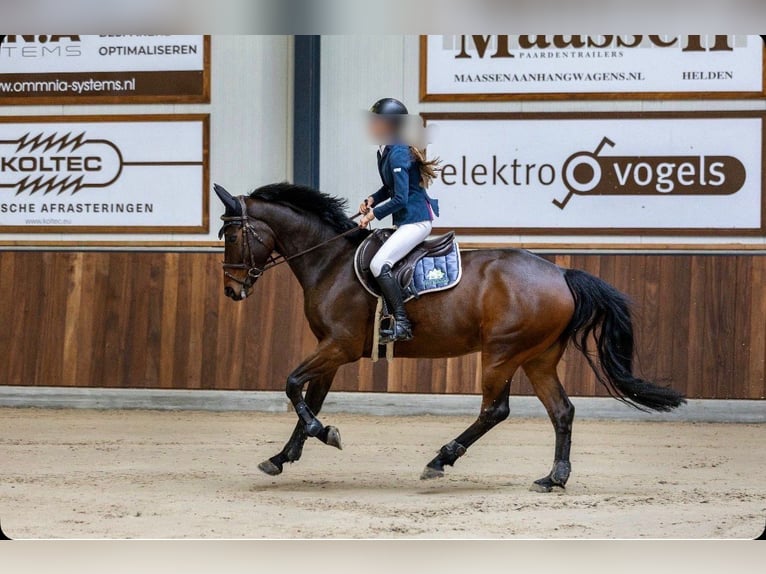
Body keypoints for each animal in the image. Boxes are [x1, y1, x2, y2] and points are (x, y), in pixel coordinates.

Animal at [214, 182, 685, 492]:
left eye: (233, 235)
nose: (232, 290)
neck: (330, 261)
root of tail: (561, 273)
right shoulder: (331, 350)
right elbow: (308, 397)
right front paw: (282, 457)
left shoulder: (338, 347)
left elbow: (293, 385)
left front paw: (324, 433)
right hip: (537, 358)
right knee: (562, 411)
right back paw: (553, 478)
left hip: (501, 353)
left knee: (496, 411)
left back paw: (440, 459)